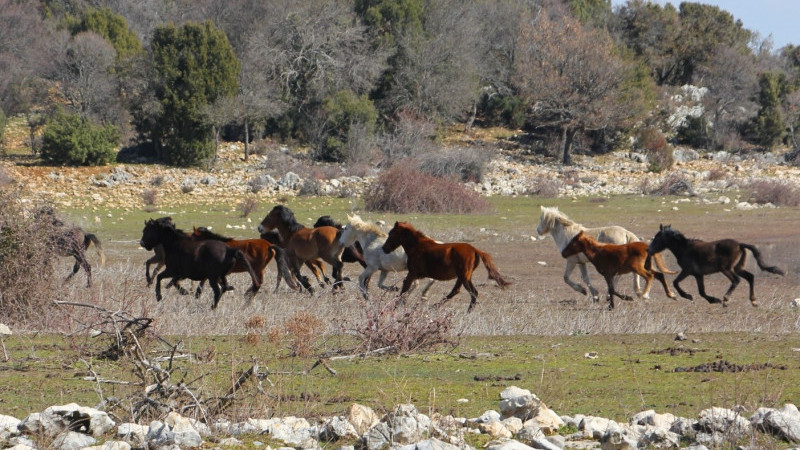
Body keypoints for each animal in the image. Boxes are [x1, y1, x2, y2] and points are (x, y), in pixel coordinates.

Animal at [382, 220, 512, 312]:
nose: (384, 248)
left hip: (463, 276)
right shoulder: (417, 275)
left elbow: (405, 288)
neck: (416, 246)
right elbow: (408, 288)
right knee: (460, 291)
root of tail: (474, 250)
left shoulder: (412, 273)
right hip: (464, 276)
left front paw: (395, 306)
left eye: (391, 234)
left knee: (471, 292)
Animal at [536, 207, 676, 298]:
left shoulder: (571, 261)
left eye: (541, 219)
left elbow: (566, 278)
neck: (567, 235)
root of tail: (626, 233)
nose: (538, 231)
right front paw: (593, 294)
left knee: (620, 275)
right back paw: (638, 292)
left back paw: (613, 294)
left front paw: (582, 290)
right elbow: (585, 278)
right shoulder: (581, 262)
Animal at [648, 224, 784, 306]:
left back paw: (726, 299)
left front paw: (688, 296)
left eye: (658, 237)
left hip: (726, 269)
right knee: (750, 277)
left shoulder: (687, 271)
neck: (685, 248)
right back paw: (753, 301)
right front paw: (713, 300)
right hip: (738, 268)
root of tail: (740, 245)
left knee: (736, 280)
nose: (649, 250)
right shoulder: (698, 275)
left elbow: (676, 283)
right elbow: (701, 291)